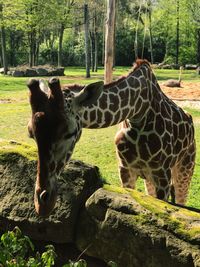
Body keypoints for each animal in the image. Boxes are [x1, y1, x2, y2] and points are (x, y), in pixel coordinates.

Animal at [27, 60, 195, 218]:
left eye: (70, 132)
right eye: (31, 133)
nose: (42, 204)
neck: (139, 111)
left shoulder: (162, 174)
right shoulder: (125, 170)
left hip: (184, 170)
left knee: (181, 200)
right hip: (149, 179)